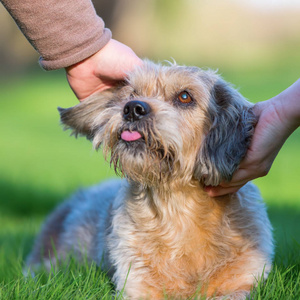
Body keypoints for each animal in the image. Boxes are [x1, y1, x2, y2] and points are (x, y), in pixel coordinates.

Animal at [27, 59, 274, 298]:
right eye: (132, 93)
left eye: (185, 96)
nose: (132, 108)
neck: (178, 208)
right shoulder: (136, 283)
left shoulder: (241, 283)